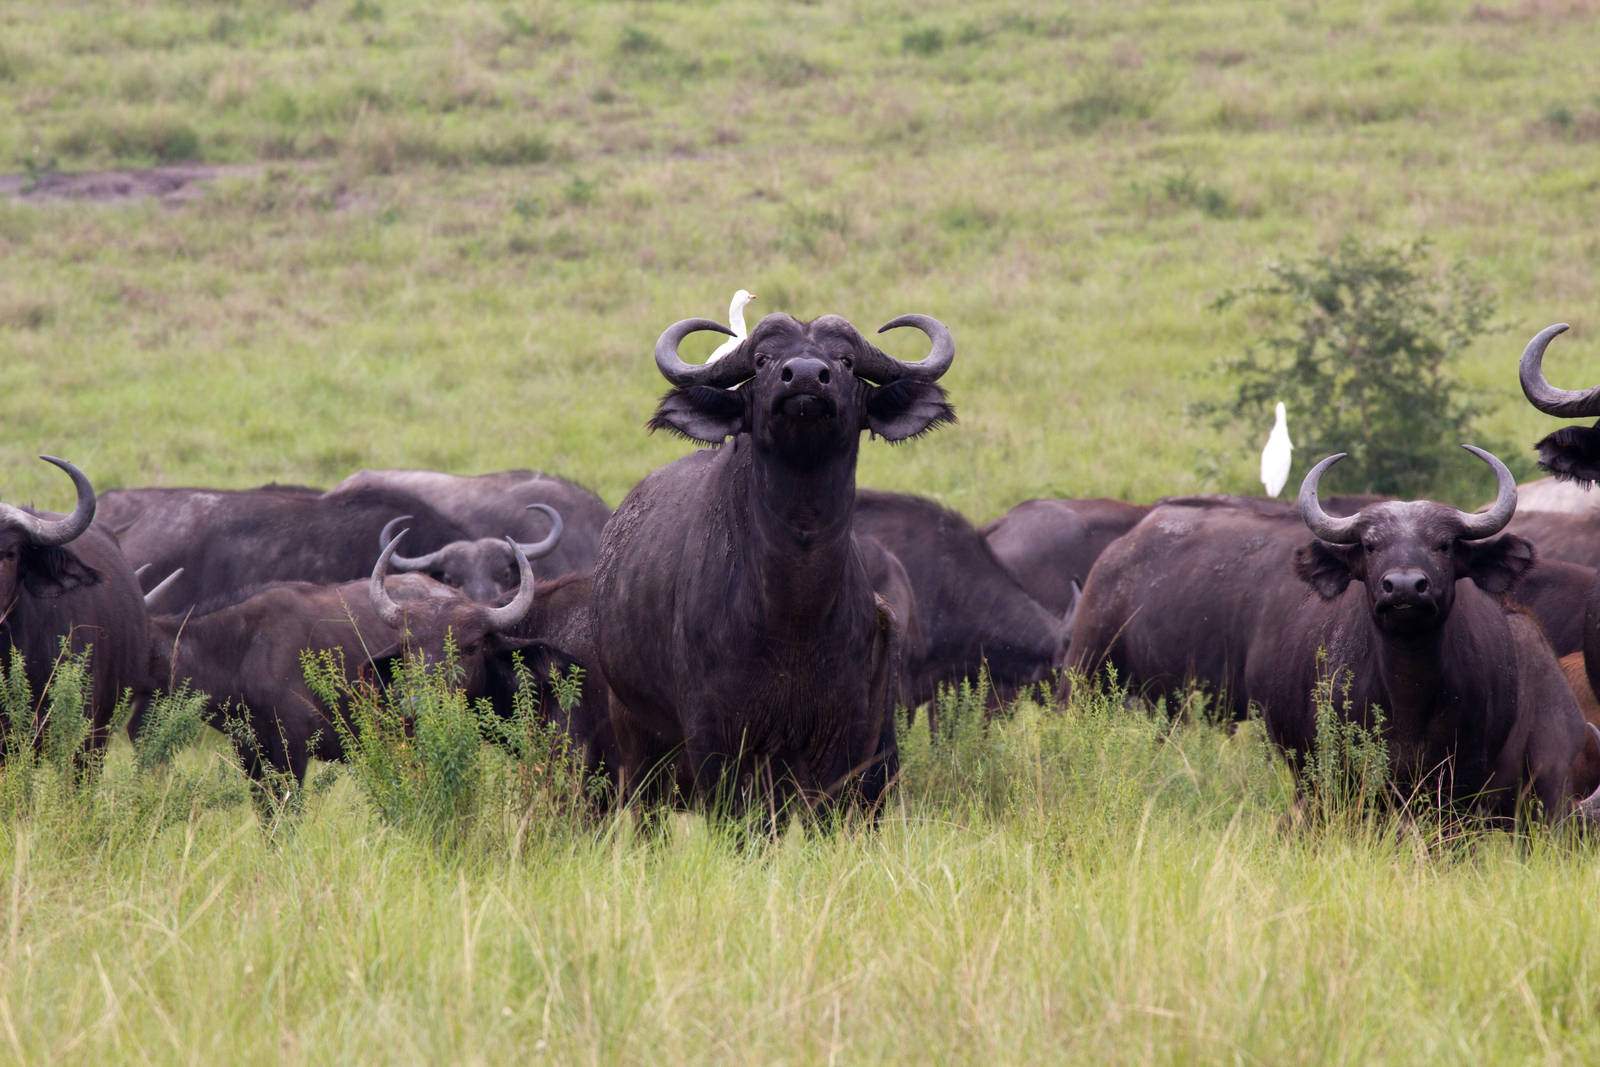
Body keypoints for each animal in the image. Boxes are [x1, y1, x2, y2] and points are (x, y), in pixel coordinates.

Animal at [593, 310, 956, 819]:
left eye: (845, 361)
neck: (793, 609)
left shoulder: (836, 736)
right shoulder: (715, 733)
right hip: (635, 737)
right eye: (763, 360)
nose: (803, 377)